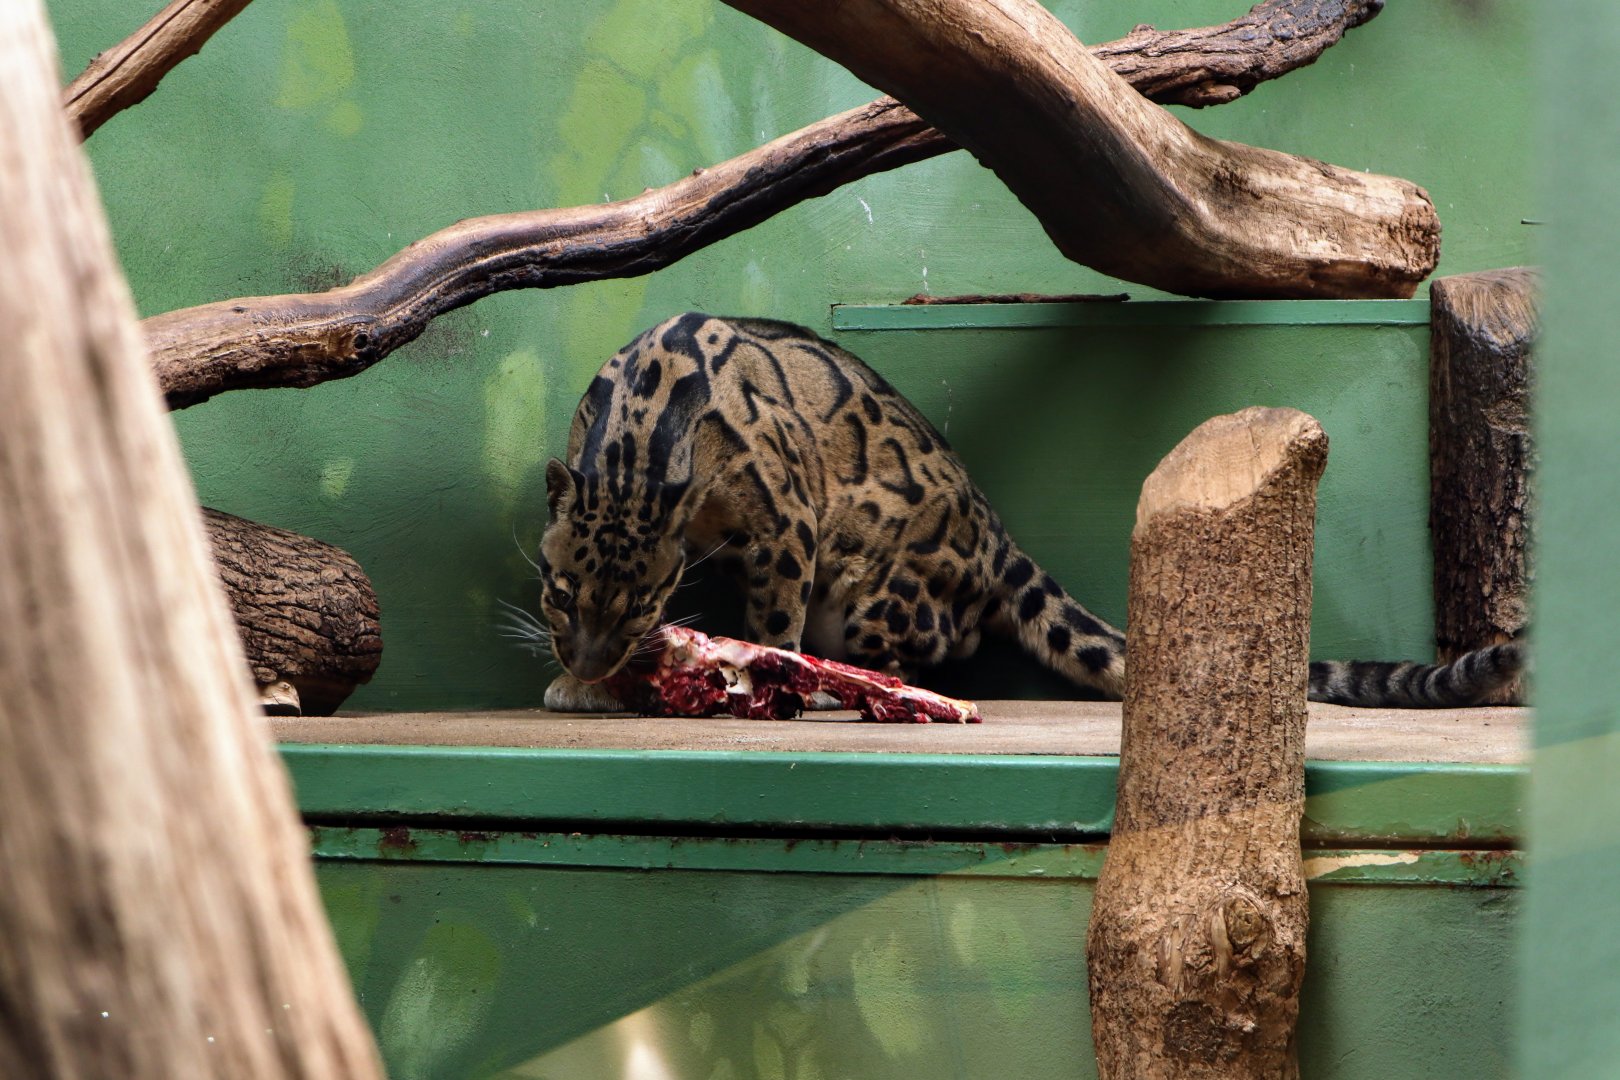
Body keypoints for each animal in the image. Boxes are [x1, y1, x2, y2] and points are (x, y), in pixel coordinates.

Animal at [535, 312, 1523, 712]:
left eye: (639, 605)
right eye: (559, 594)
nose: (583, 655)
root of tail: (994, 533)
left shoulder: (786, 523)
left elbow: (773, 620)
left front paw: (763, 673)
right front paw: (583, 684)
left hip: (875, 586)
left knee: (923, 651)